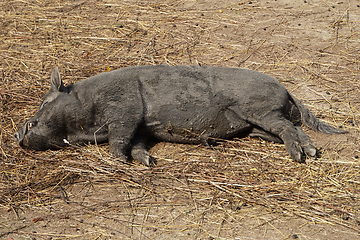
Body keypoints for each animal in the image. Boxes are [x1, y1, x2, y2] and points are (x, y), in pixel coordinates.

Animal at [13, 64, 346, 166]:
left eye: (44, 103)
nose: (18, 132)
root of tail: (285, 88)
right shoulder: (141, 128)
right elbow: (137, 144)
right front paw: (147, 162)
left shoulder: (125, 111)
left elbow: (120, 138)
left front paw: (120, 162)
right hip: (256, 123)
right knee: (290, 130)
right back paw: (308, 153)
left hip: (262, 109)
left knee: (290, 130)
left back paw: (302, 156)